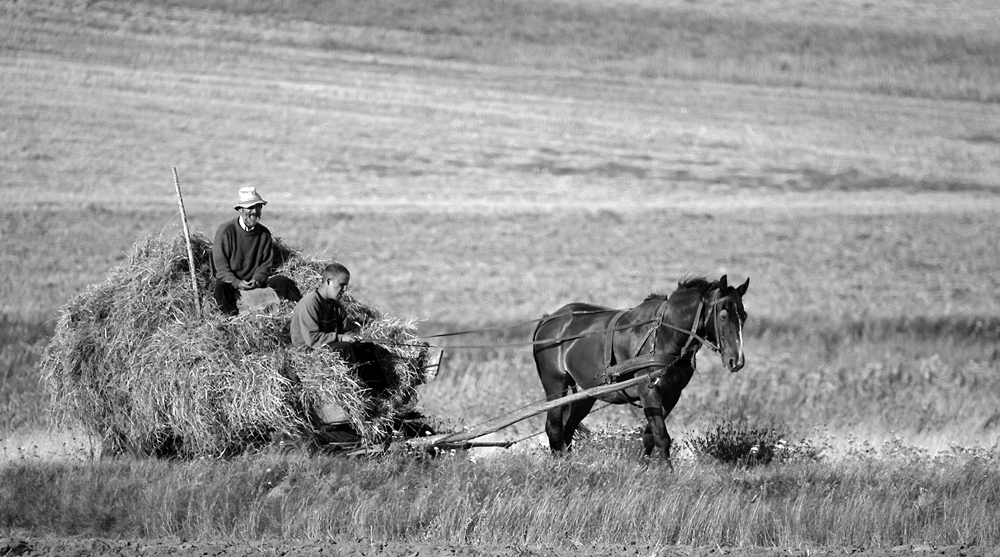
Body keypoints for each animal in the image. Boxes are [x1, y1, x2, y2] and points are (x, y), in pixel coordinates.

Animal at [536, 274, 748, 460]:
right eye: (723, 315)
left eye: (744, 316)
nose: (736, 361)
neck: (665, 333)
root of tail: (549, 319)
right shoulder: (649, 392)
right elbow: (662, 437)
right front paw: (666, 472)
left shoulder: (672, 395)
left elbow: (649, 437)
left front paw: (644, 469)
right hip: (555, 385)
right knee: (554, 428)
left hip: (587, 393)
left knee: (568, 428)